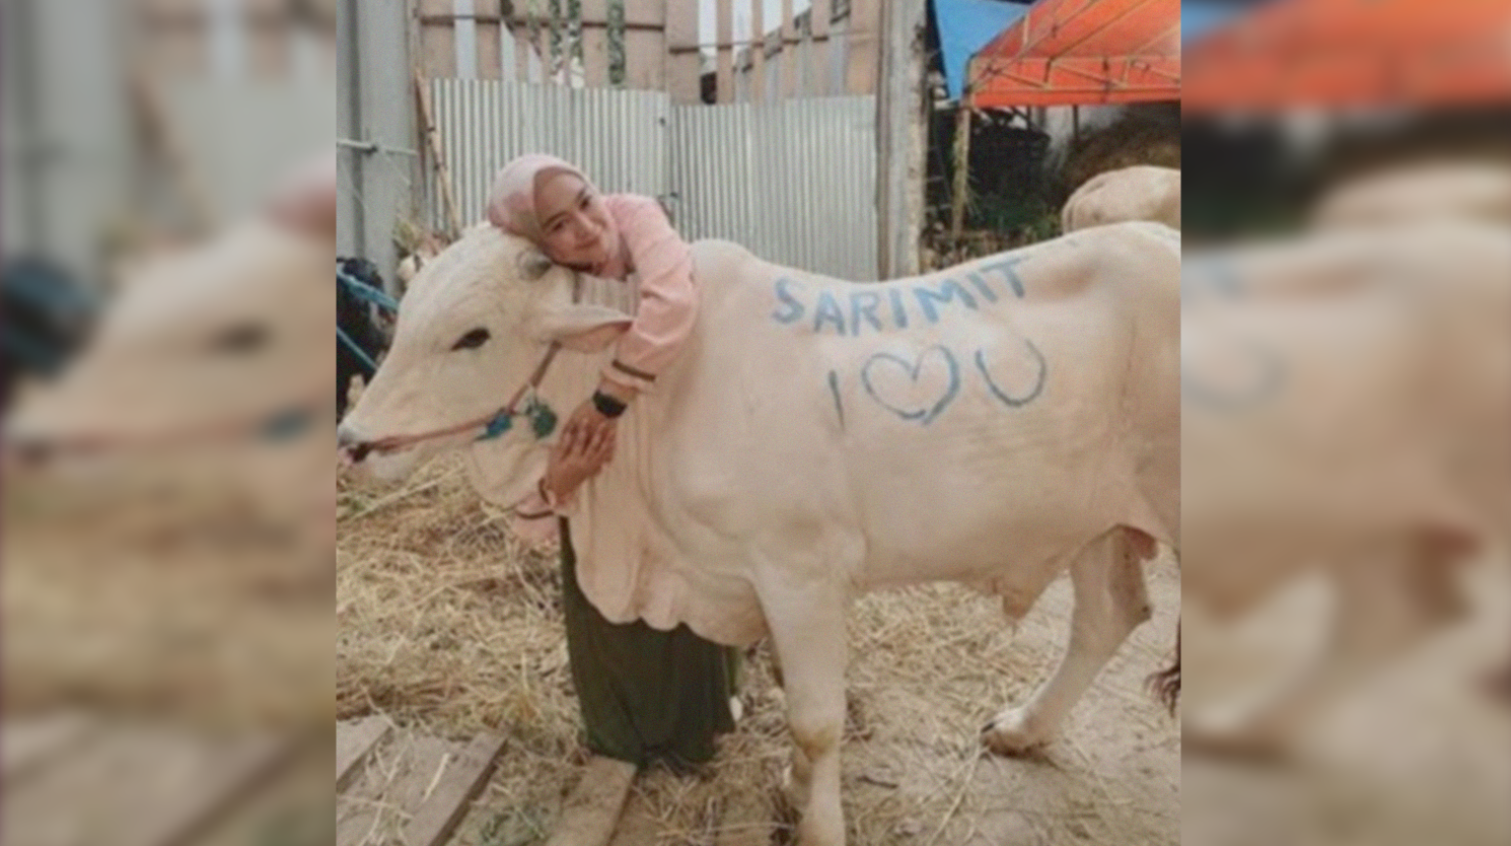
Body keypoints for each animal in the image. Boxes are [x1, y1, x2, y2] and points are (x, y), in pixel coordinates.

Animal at [342, 219, 1178, 846]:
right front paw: (794, 790)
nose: (353, 441)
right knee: (1109, 617)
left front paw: (818, 827)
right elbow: (790, 698)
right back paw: (1022, 728)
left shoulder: (801, 573)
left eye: (471, 335)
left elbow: (815, 719)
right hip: (1098, 523)